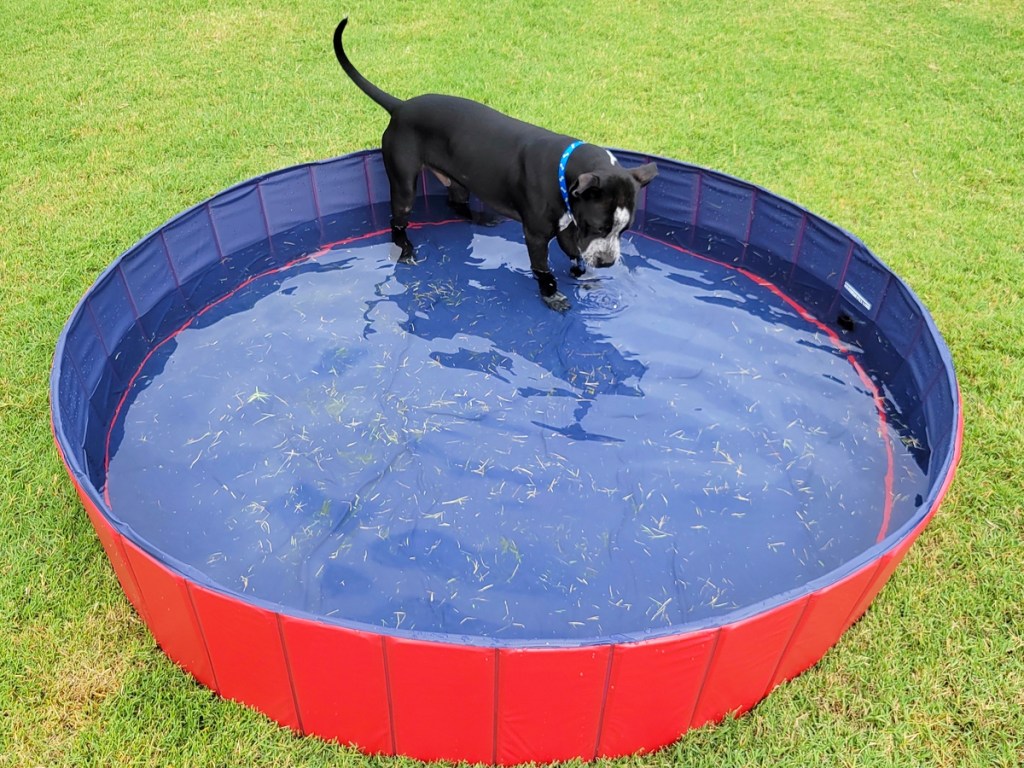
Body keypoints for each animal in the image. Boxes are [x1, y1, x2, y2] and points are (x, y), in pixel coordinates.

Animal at [331, 15, 659, 309]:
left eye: (624, 230)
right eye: (599, 226)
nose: (607, 262)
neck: (565, 171)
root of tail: (400, 107)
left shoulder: (568, 226)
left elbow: (575, 254)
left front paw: (583, 276)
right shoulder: (537, 235)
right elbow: (542, 269)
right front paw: (551, 295)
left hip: (460, 178)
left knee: (455, 202)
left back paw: (481, 218)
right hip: (404, 183)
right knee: (397, 221)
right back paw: (406, 250)